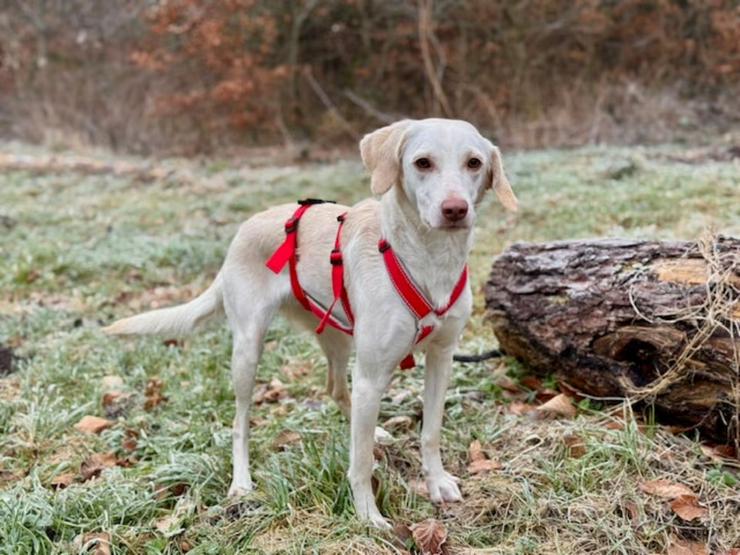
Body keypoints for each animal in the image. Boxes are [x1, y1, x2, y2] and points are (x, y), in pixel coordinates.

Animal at [105, 119, 520, 528]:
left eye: (474, 163)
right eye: (422, 163)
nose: (455, 209)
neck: (428, 260)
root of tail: (243, 229)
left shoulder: (441, 358)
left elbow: (430, 431)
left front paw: (436, 481)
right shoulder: (372, 373)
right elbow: (360, 461)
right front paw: (367, 516)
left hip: (339, 336)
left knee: (336, 390)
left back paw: (374, 430)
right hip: (249, 350)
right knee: (240, 422)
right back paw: (242, 482)